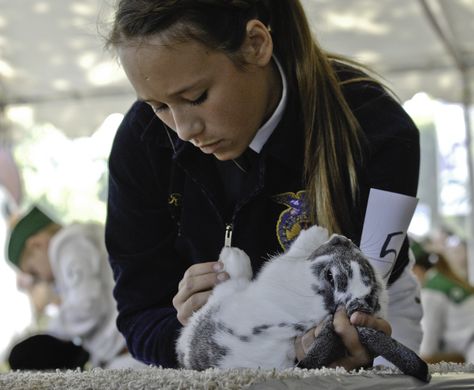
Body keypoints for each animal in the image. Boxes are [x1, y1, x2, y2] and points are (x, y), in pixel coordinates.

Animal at [177, 225, 430, 380]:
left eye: (331, 276)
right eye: (372, 294)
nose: (342, 239)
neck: (322, 305)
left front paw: (314, 231)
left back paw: (233, 255)